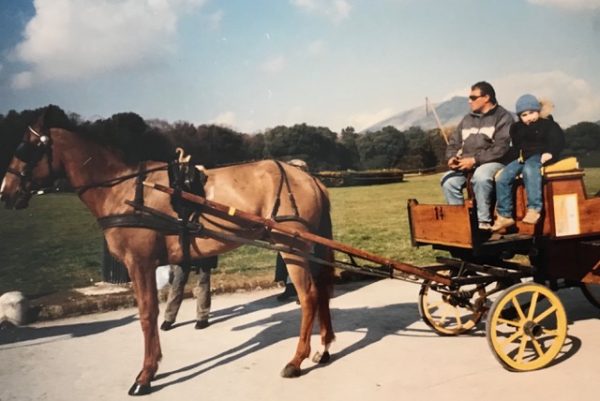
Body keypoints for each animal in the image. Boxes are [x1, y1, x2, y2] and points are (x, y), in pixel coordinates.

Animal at [0, 112, 336, 394]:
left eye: (24, 148)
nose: (5, 192)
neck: (123, 191)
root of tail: (309, 178)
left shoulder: (140, 263)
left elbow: (147, 314)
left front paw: (146, 374)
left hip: (292, 248)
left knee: (308, 297)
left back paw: (297, 359)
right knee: (322, 290)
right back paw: (323, 348)